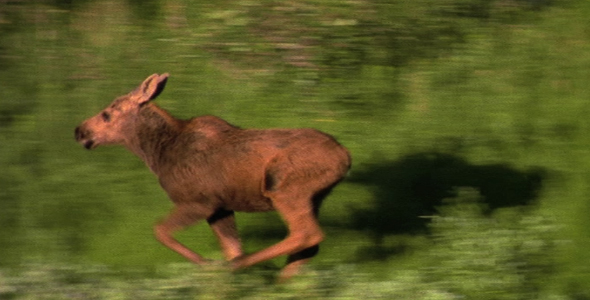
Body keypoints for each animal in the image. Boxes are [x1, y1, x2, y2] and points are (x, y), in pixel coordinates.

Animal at [74, 74, 352, 280]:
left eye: (107, 114)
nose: (79, 130)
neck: (157, 154)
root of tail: (345, 156)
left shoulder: (199, 201)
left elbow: (160, 231)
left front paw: (206, 264)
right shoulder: (221, 207)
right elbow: (231, 246)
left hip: (284, 188)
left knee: (307, 234)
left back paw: (245, 267)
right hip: (313, 197)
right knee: (308, 243)